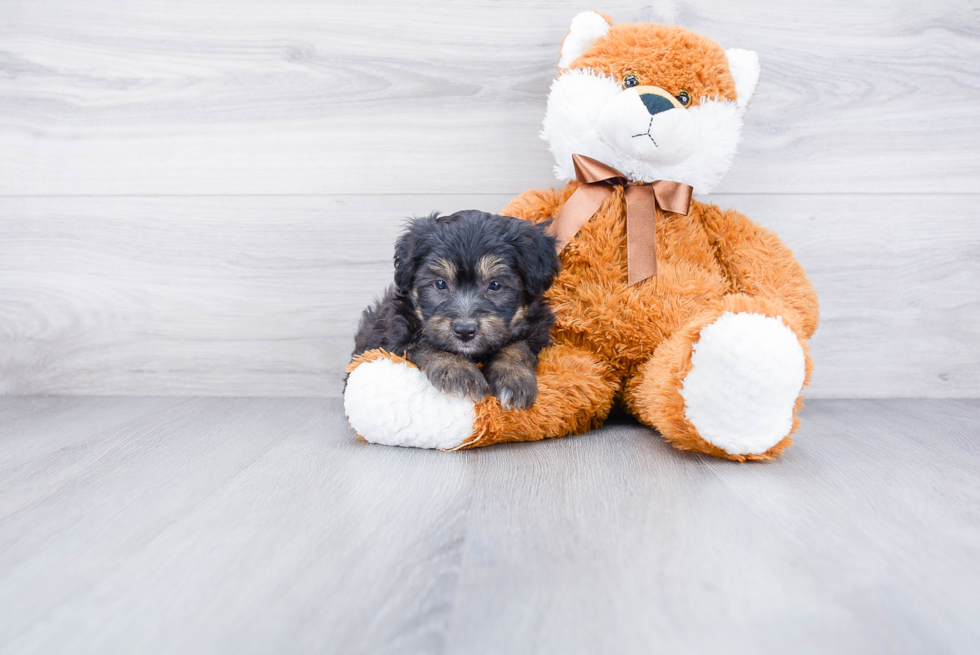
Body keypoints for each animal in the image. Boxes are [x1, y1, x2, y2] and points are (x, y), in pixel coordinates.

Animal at [356, 211, 564, 410]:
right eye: (440, 284)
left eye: (495, 285)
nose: (464, 331)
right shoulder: (396, 337)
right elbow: (425, 343)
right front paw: (458, 370)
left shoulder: (537, 329)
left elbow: (518, 346)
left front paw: (513, 376)